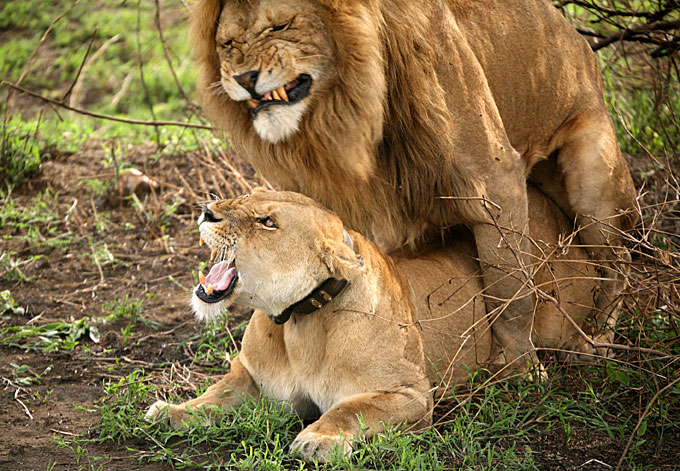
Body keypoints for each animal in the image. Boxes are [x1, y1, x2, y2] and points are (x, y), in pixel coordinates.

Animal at [146, 187, 602, 461]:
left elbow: (350, 407)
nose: (207, 211)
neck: (300, 322)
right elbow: (215, 395)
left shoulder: (412, 395)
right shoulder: (254, 378)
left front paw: (318, 438)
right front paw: (171, 411)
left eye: (267, 222)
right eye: (247, 194)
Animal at [190, 0, 636, 370]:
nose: (244, 78)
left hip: (593, 183)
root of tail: (578, 40)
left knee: (618, 262)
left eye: (280, 26)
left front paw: (519, 371)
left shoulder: (496, 181)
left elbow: (509, 291)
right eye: (227, 44)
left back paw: (597, 340)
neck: (341, 112)